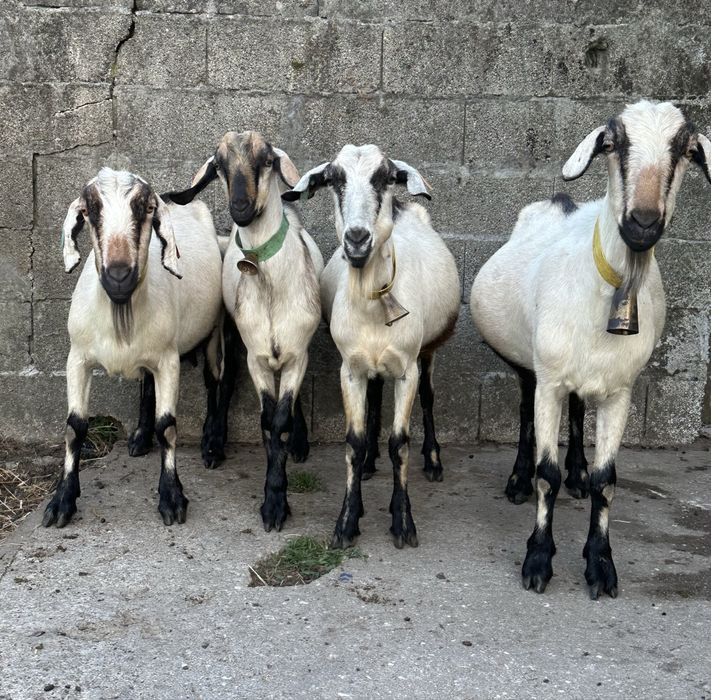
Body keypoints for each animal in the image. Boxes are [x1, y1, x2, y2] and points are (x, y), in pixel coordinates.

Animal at [43, 167, 228, 528]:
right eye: (89, 211)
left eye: (146, 209)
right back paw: (140, 437)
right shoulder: (77, 358)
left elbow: (167, 426)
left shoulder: (169, 360)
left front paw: (172, 498)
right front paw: (61, 502)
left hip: (214, 330)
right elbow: (75, 427)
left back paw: (213, 447)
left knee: (215, 381)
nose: (118, 276)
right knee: (145, 384)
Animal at [162, 131, 323, 532]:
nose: (240, 208)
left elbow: (282, 418)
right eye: (219, 166)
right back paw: (213, 444)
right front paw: (273, 500)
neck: (271, 286)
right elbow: (267, 422)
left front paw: (278, 500)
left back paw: (299, 444)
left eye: (267, 161)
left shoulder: (297, 352)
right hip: (227, 328)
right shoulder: (257, 357)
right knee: (223, 376)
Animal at [284, 144, 460, 549]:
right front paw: (348, 521)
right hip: (374, 364)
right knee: (377, 397)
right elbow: (355, 440)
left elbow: (400, 444)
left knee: (429, 398)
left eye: (385, 177)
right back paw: (368, 467)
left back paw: (434, 461)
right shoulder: (350, 369)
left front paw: (403, 522)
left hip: (428, 351)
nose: (357, 239)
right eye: (333, 179)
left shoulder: (407, 369)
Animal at [470, 100, 711, 598]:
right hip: (529, 363)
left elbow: (608, 480)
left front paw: (600, 564)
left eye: (686, 151)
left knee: (580, 410)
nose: (642, 223)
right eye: (612, 144)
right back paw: (517, 481)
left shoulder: (620, 390)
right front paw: (537, 561)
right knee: (525, 412)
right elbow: (547, 474)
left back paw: (577, 474)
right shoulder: (549, 379)